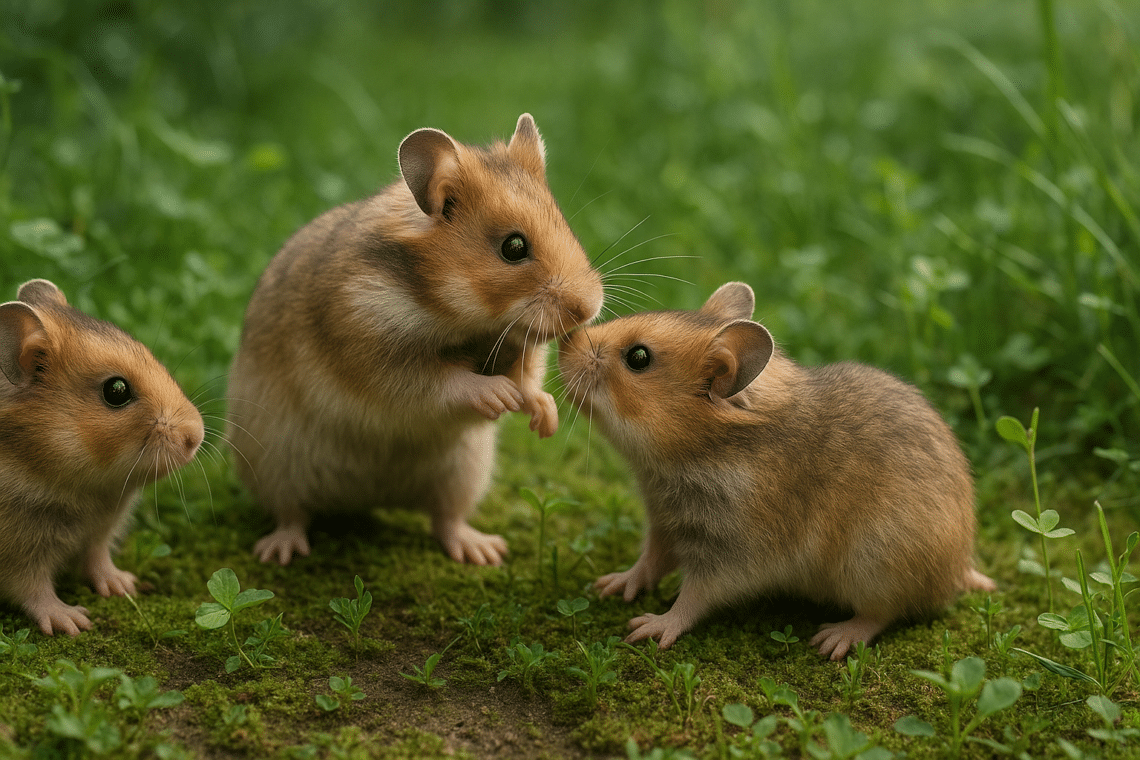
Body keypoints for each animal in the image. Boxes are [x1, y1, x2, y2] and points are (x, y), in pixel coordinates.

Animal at [0, 279, 204, 636]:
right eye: (116, 391)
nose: (198, 436)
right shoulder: (18, 553)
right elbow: (34, 589)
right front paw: (74, 622)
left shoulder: (100, 531)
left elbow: (98, 560)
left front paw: (126, 586)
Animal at [227, 113, 604, 567]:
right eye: (513, 247)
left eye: (564, 223)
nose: (590, 307)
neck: (456, 313)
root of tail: (369, 500)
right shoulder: (374, 356)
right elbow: (443, 381)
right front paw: (499, 397)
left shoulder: (524, 346)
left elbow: (529, 379)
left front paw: (544, 419)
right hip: (274, 464)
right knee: (292, 514)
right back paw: (278, 552)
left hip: (463, 472)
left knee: (446, 519)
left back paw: (485, 551)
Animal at [558, 282, 995, 660]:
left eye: (638, 358)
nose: (564, 342)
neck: (694, 456)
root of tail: (958, 569)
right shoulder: (664, 522)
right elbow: (649, 560)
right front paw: (611, 584)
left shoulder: (731, 555)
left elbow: (693, 599)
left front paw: (650, 627)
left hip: (876, 564)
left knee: (883, 612)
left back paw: (834, 638)